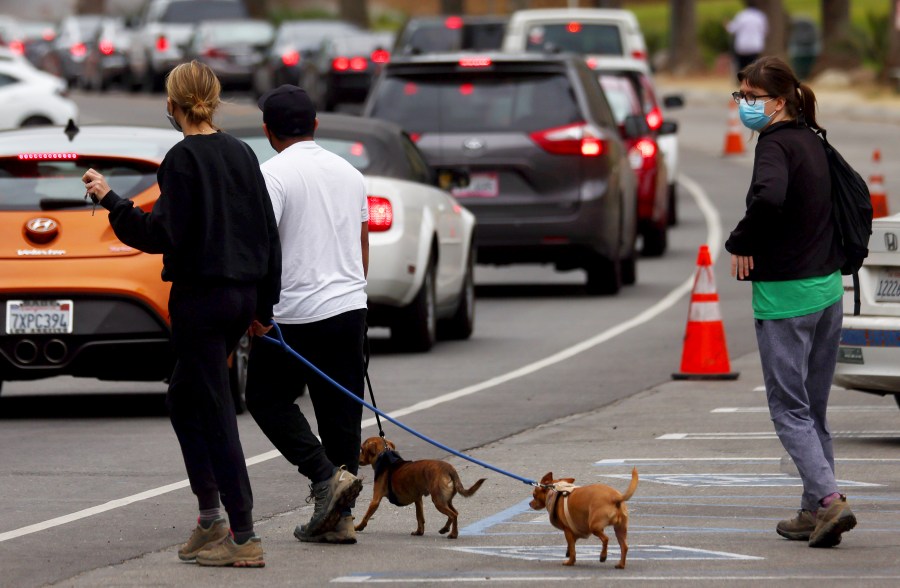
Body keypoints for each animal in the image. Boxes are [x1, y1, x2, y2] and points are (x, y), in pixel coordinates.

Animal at [356, 436, 488, 536]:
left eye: (361, 449)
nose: (358, 459)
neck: (385, 456)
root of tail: (449, 468)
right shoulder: (418, 499)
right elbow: (420, 517)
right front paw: (419, 532)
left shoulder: (375, 500)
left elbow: (366, 516)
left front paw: (358, 527)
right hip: (446, 500)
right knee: (455, 513)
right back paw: (445, 528)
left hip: (438, 501)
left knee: (453, 515)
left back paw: (453, 534)